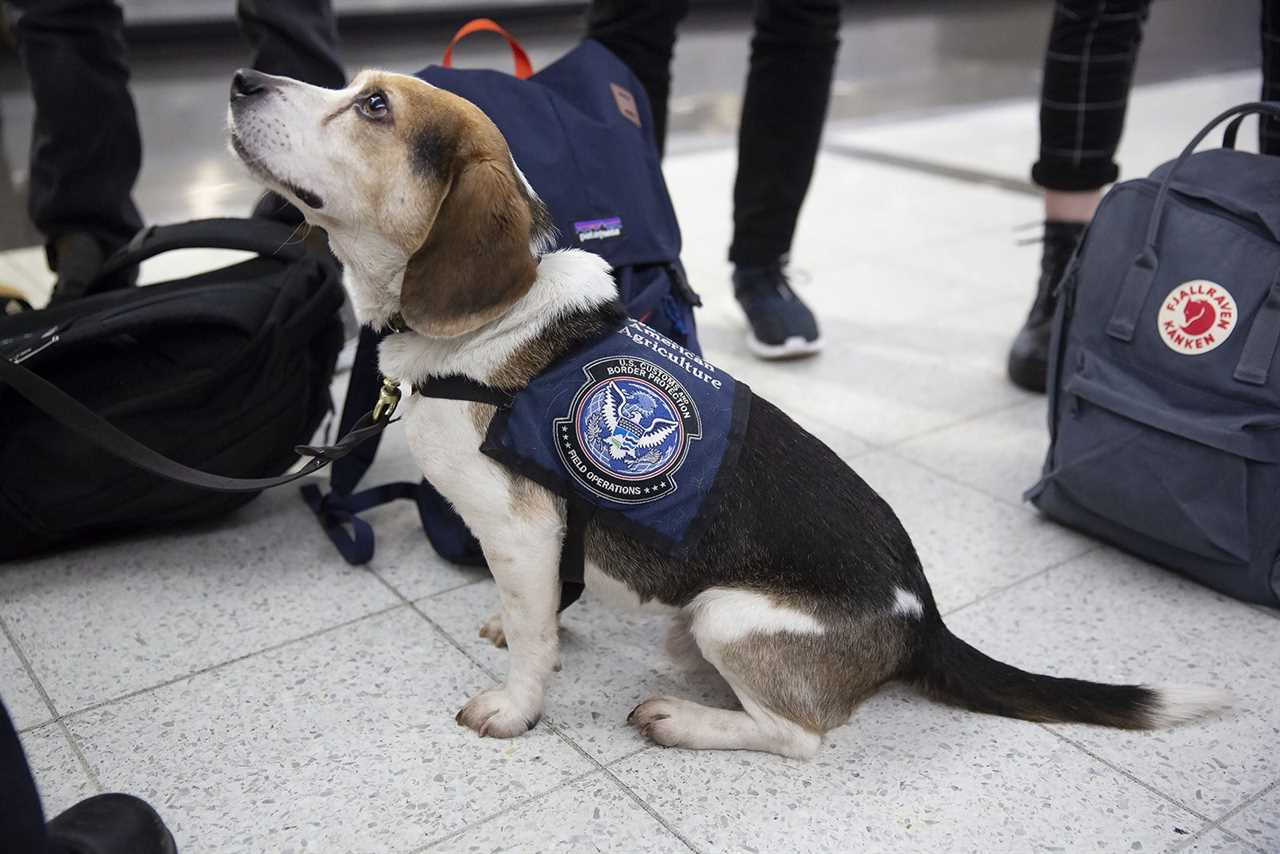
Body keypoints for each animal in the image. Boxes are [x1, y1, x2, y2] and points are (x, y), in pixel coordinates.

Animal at [225, 70, 1223, 757]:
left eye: (373, 107)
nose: (241, 78)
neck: (483, 328)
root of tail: (922, 617)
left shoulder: (519, 529)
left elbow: (537, 643)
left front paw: (515, 704)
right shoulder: (534, 552)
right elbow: (537, 613)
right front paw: (518, 629)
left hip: (727, 614)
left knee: (800, 737)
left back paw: (683, 719)